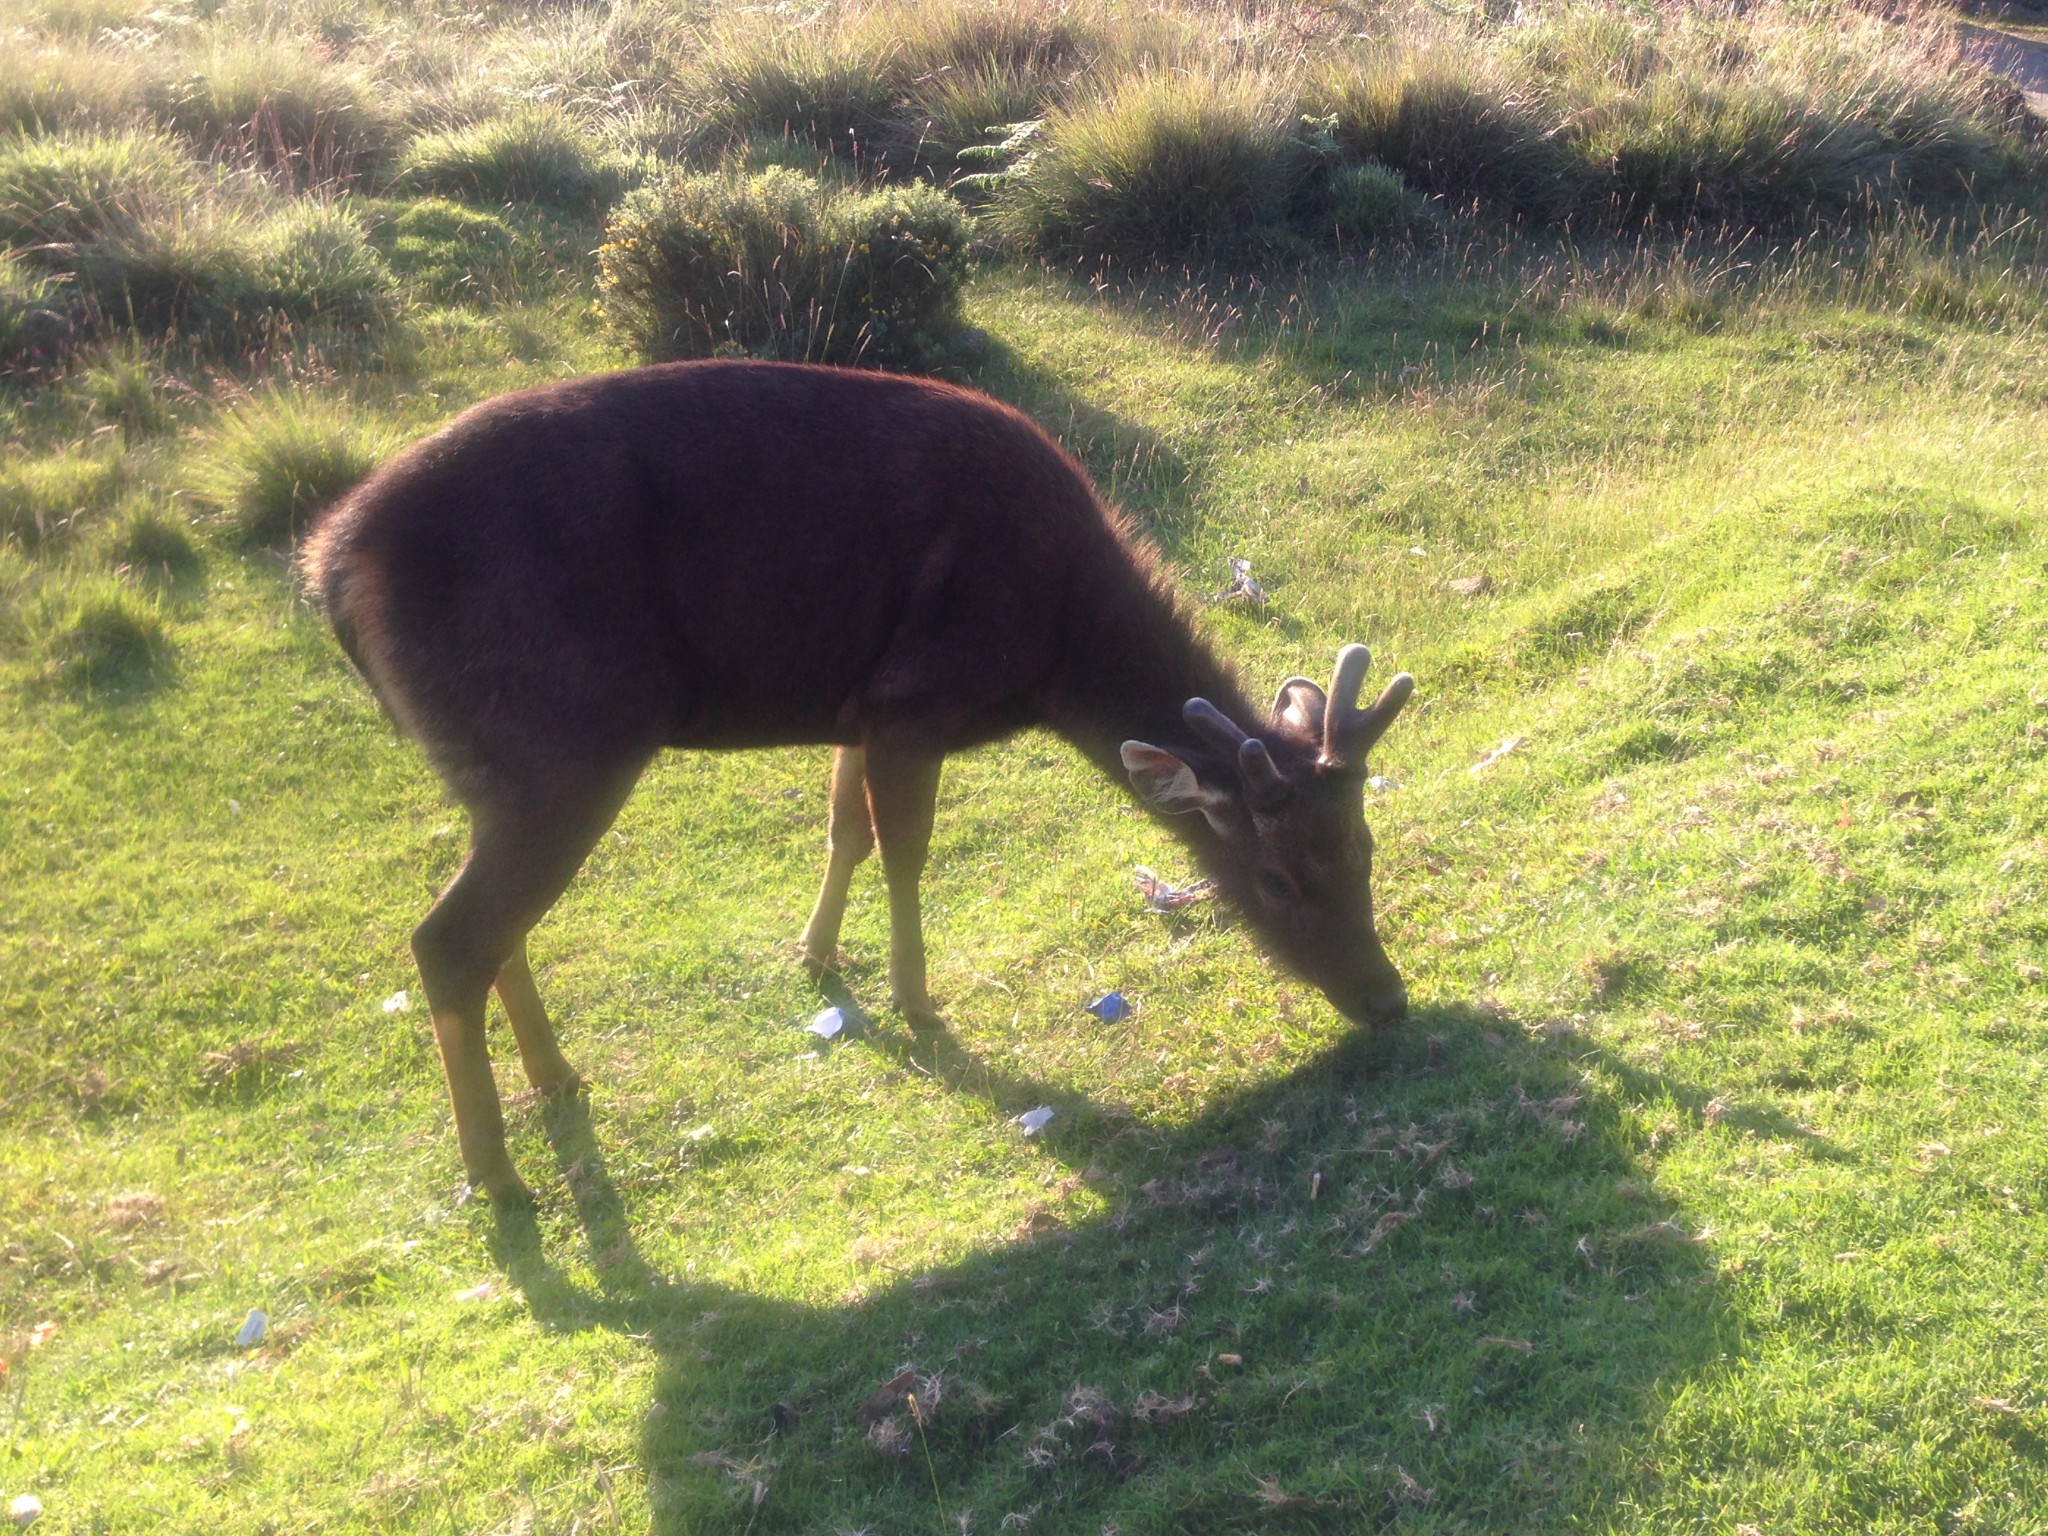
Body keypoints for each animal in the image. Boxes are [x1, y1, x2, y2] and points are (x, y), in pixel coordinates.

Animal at [307, 358, 1409, 1204]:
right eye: (1274, 878)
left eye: (1363, 846)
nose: (1387, 997)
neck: (1056, 651)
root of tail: (329, 571)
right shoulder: (915, 694)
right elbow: (905, 852)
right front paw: (919, 1003)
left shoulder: (858, 704)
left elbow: (844, 829)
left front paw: (818, 955)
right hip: (562, 739)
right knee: (451, 938)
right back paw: (497, 1176)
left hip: (499, 769)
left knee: (496, 927)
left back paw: (558, 1079)